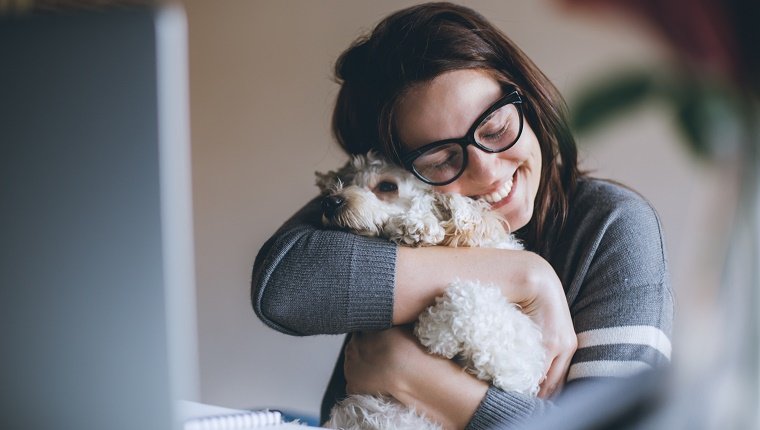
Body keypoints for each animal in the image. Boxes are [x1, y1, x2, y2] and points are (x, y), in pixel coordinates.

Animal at [314, 152, 548, 430]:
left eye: (387, 186)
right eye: (349, 180)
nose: (330, 202)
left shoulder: (520, 369)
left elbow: (469, 298)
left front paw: (432, 328)